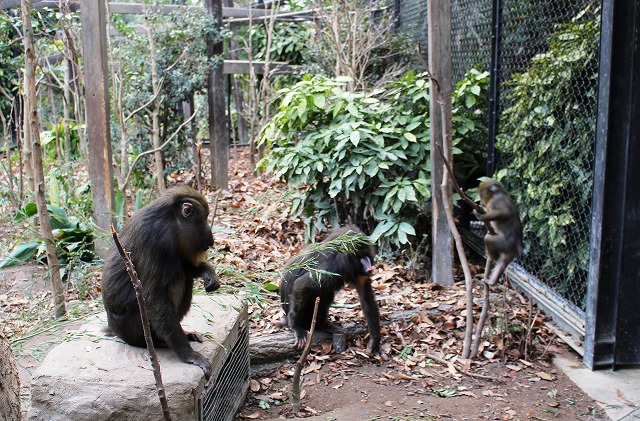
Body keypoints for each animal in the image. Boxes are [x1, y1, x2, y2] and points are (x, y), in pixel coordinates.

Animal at [100, 185, 220, 376]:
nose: (211, 238)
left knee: (183, 276)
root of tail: (115, 329)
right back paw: (157, 342)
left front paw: (208, 273)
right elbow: (154, 298)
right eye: (204, 219)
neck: (171, 220)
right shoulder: (155, 237)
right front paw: (188, 355)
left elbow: (186, 267)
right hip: (132, 328)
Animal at [276, 226, 380, 354]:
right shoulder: (332, 266)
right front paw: (296, 327)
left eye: (366, 255)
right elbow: (302, 285)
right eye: (360, 256)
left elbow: (365, 292)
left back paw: (323, 324)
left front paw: (374, 340)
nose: (369, 267)